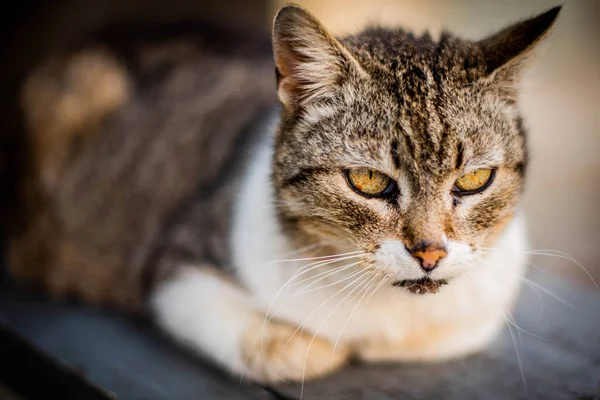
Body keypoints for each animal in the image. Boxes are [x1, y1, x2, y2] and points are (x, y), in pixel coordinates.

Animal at [4, 3, 560, 384]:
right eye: (368, 181)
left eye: (473, 181)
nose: (430, 254)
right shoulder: (175, 266)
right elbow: (267, 341)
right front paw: (306, 346)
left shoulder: (478, 312)